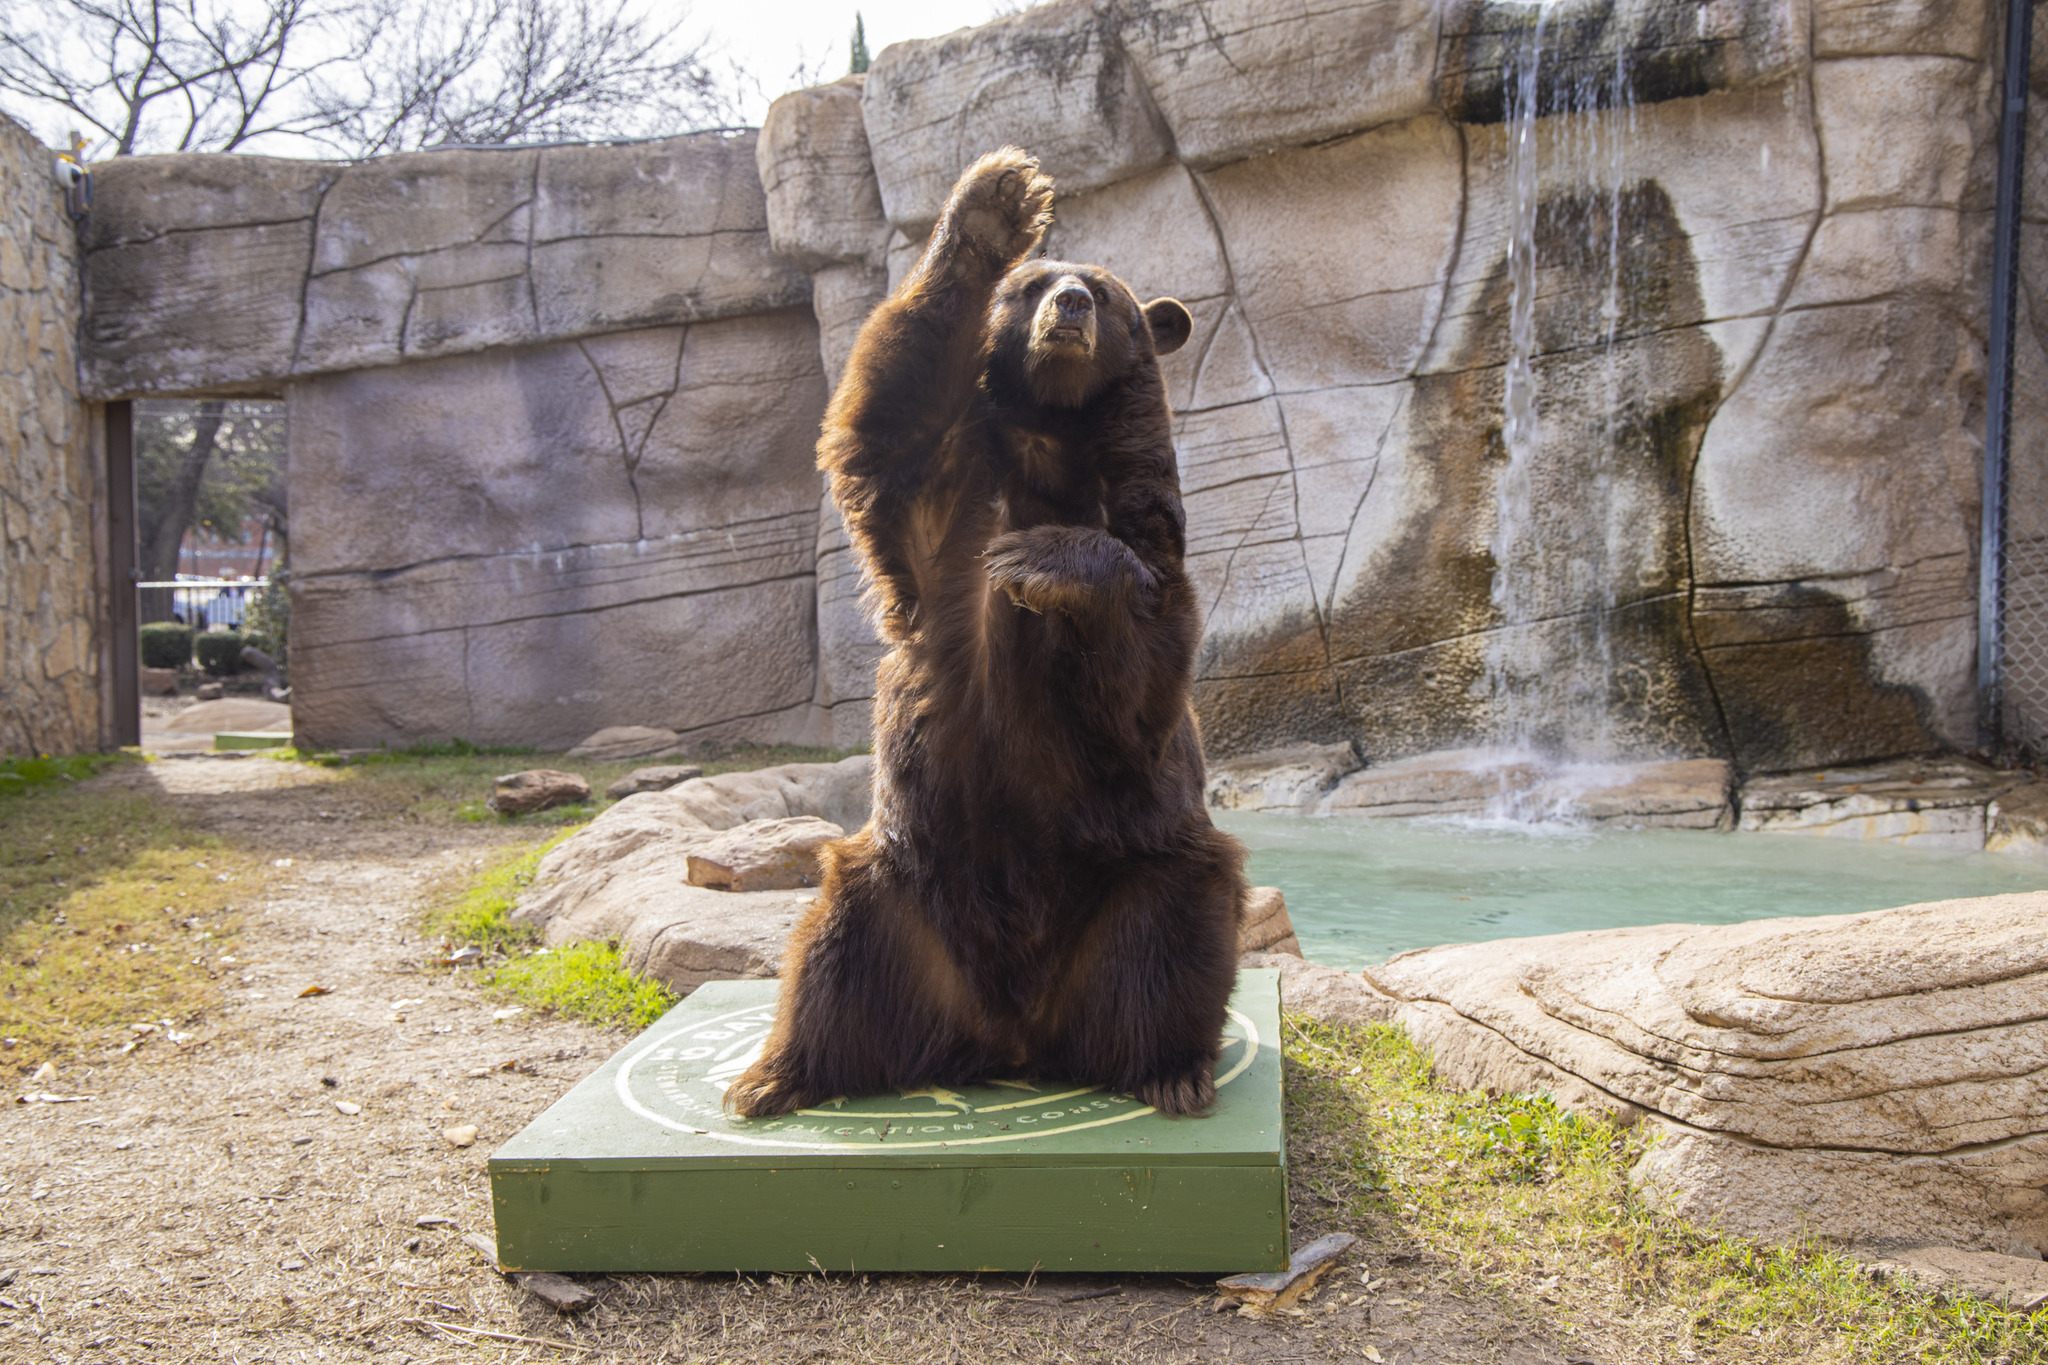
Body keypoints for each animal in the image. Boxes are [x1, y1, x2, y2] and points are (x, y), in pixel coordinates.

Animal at [729, 147, 1253, 1121]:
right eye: (1032, 284)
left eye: (1108, 293)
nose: (1071, 307)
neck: (1052, 435)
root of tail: (1012, 1029)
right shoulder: (940, 512)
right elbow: (884, 419)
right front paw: (992, 202)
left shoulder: (1147, 547)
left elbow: (1145, 669)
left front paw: (1041, 561)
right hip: (905, 886)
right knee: (835, 954)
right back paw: (776, 1073)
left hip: (1131, 870)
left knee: (1174, 933)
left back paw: (1171, 1067)